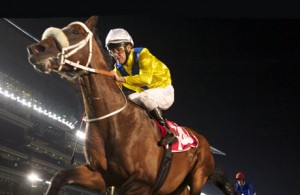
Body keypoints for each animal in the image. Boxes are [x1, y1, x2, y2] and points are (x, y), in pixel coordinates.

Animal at [26, 16, 234, 195]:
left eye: (75, 31)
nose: (36, 49)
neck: (115, 123)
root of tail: (203, 140)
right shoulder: (100, 176)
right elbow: (58, 177)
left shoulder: (143, 182)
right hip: (176, 188)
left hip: (198, 177)